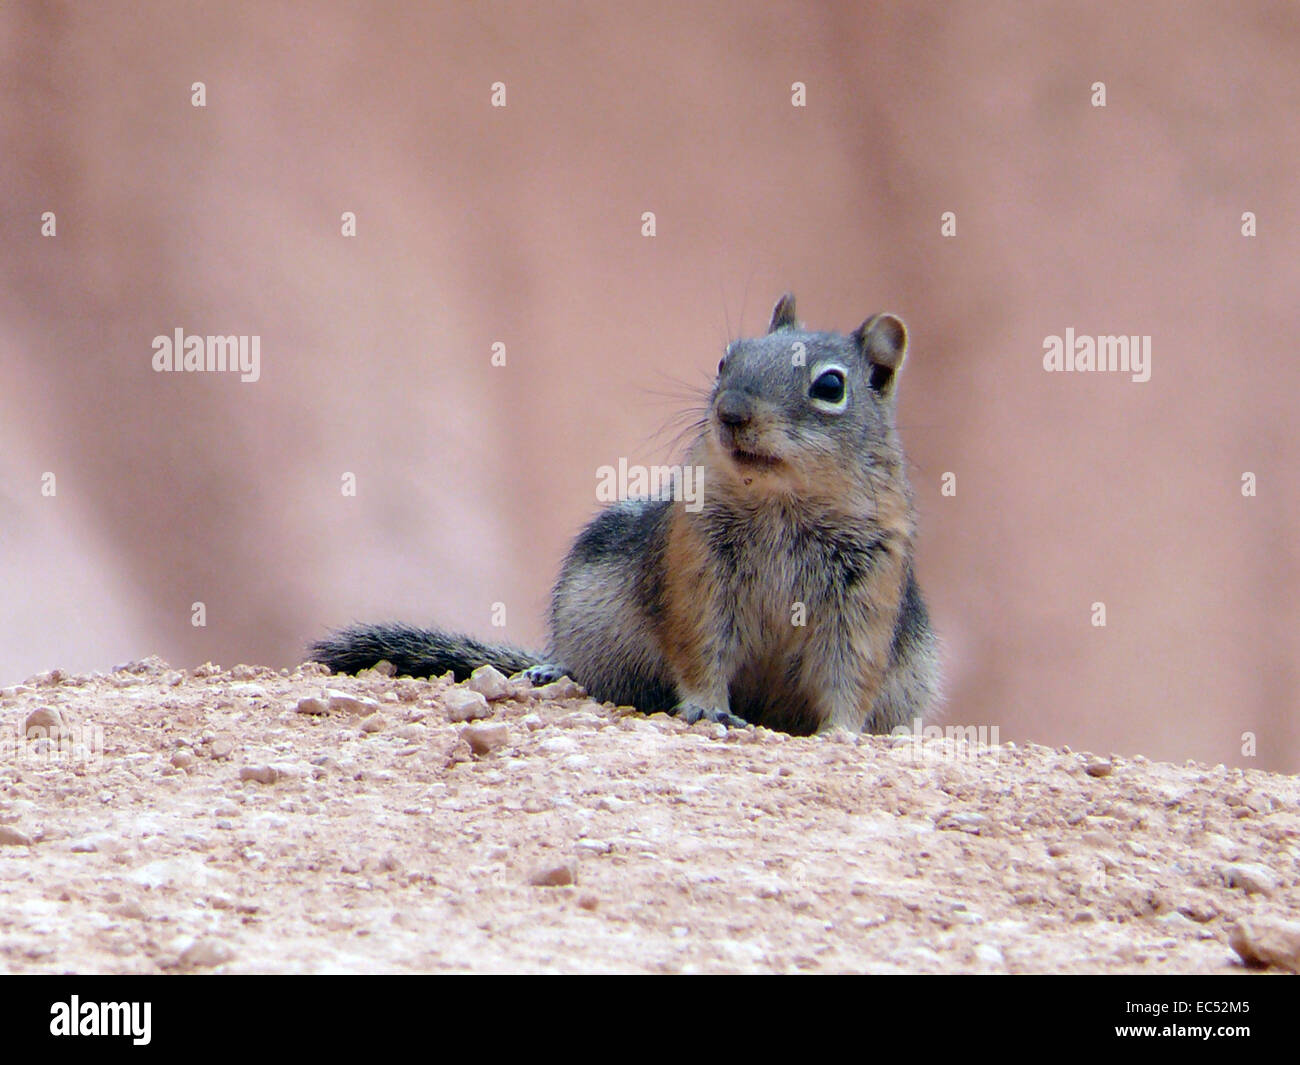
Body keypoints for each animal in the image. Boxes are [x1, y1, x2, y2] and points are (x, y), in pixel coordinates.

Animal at [310, 294, 939, 735]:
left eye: (830, 386)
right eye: (725, 360)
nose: (731, 411)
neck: (780, 501)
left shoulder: (866, 592)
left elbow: (850, 672)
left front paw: (843, 733)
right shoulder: (697, 569)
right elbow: (702, 646)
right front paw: (708, 709)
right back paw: (552, 669)